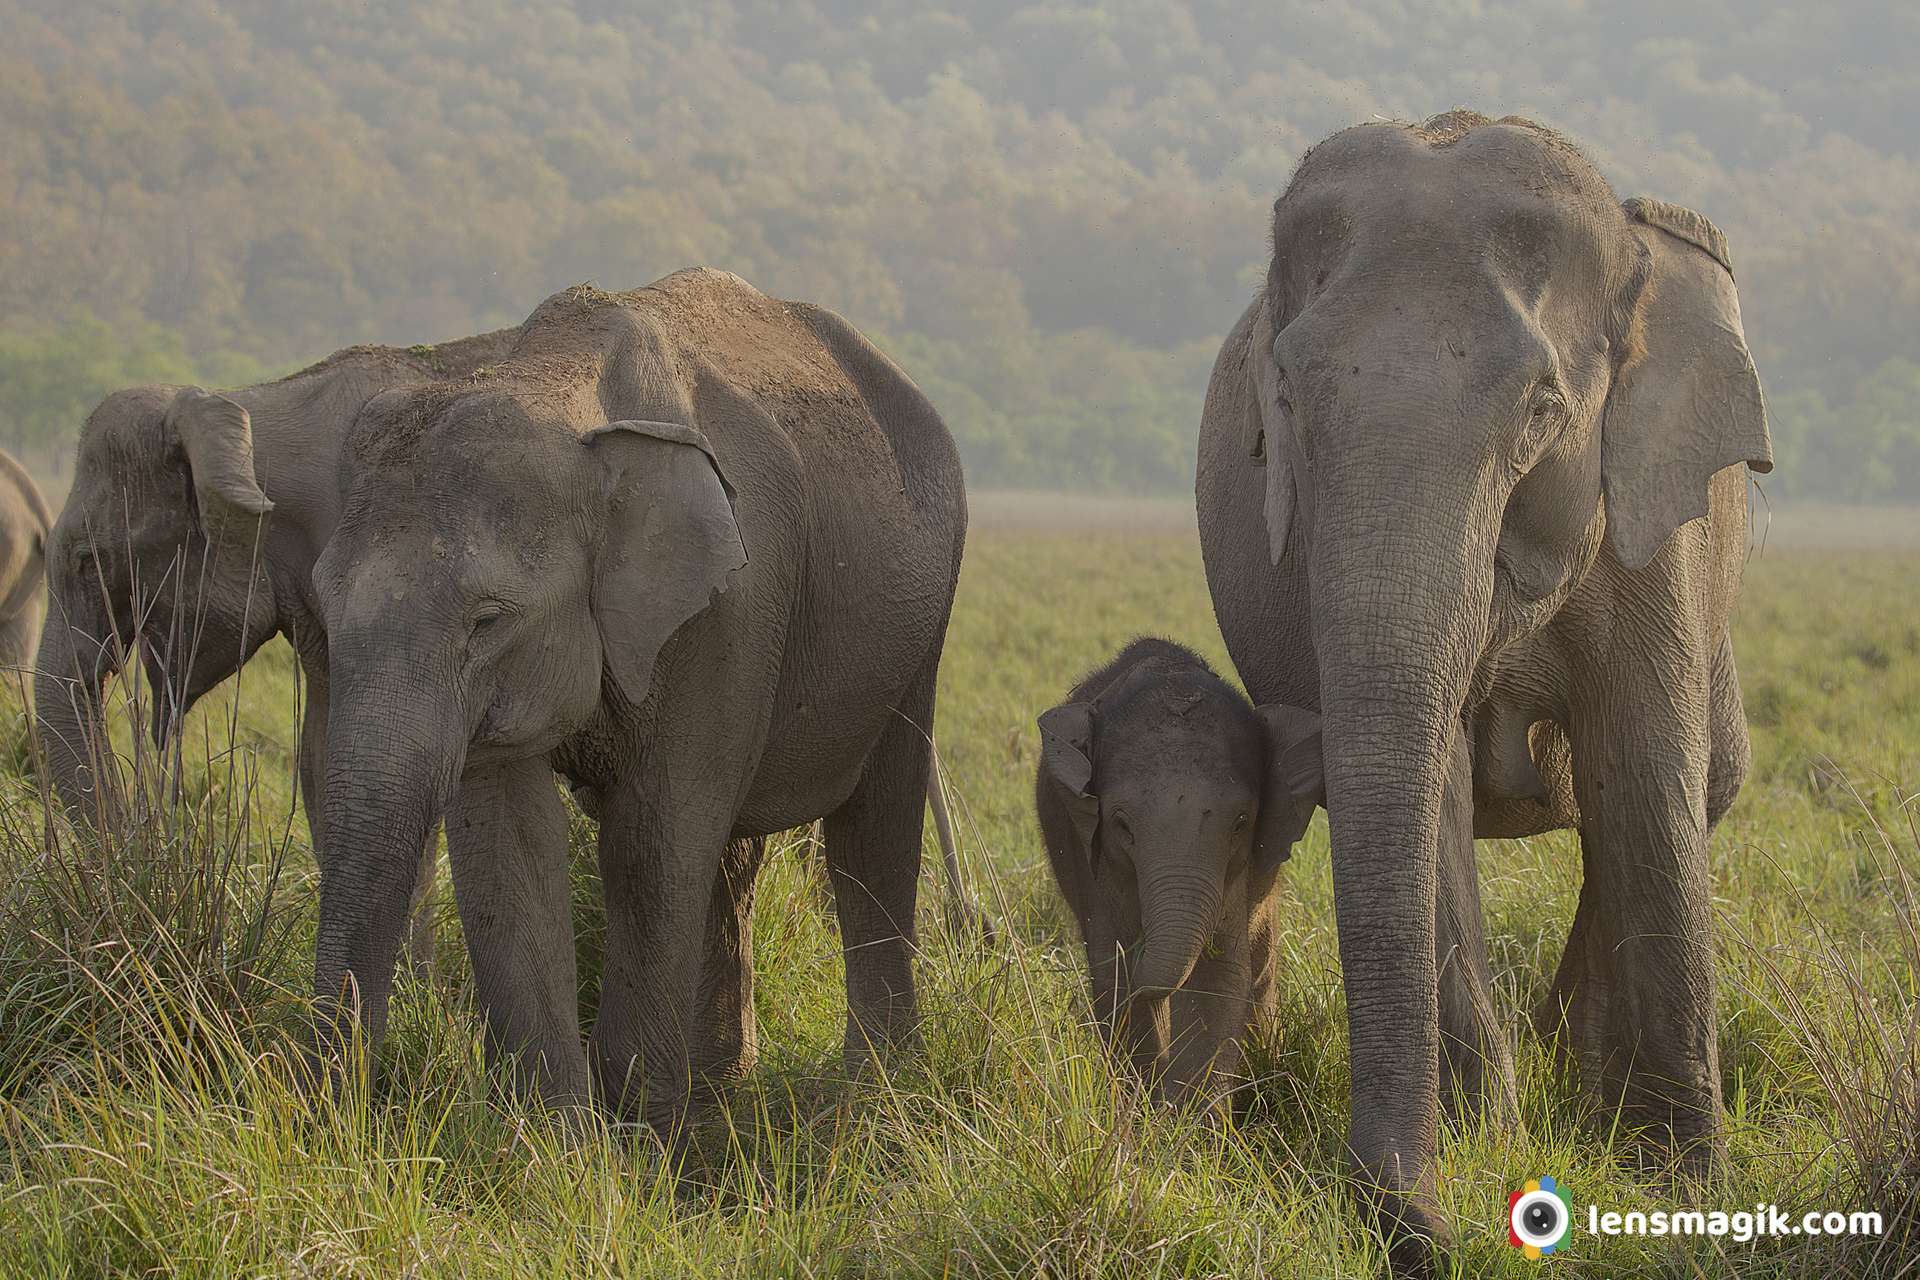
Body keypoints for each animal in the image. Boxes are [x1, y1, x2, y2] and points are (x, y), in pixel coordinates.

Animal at [316, 268, 975, 1120]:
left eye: (487, 620)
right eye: (322, 605)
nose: (346, 1107)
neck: (561, 391)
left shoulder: (730, 606)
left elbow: (651, 844)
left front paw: (636, 1133)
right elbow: (507, 841)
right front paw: (554, 1137)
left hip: (918, 617)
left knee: (874, 824)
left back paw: (872, 1090)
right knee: (735, 854)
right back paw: (725, 1080)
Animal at [1036, 640, 1320, 1113]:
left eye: (1241, 823)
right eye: (1122, 825)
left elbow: (1220, 976)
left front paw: (1184, 1123)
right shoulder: (1095, 861)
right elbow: (1115, 973)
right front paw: (1146, 1111)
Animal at [1190, 115, 1774, 1266]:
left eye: (1543, 411)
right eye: (1288, 406)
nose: (1418, 1234)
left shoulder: (1650, 525)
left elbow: (1647, 779)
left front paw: (1689, 1192)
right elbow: (1437, 793)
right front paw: (1484, 1142)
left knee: (1705, 783)